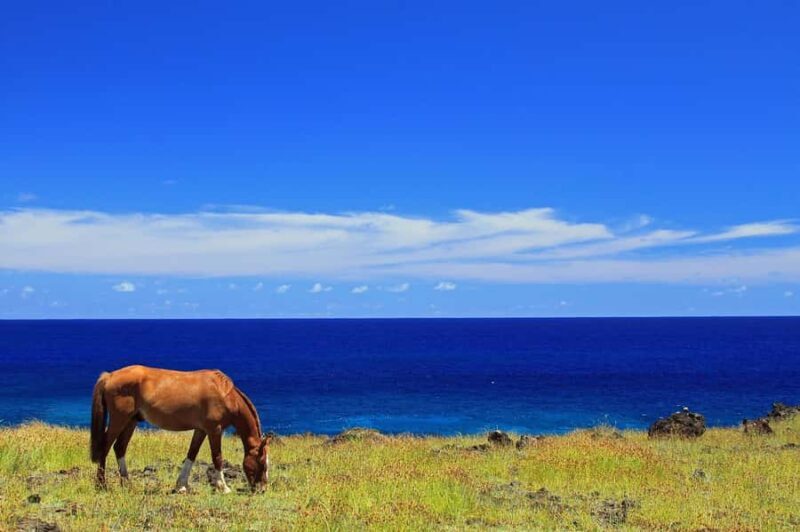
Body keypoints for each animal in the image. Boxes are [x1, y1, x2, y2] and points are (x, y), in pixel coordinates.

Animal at [90, 365, 270, 493]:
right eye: (262, 462)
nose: (262, 489)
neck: (224, 395)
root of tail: (109, 376)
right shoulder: (214, 430)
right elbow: (217, 457)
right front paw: (223, 487)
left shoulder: (201, 430)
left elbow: (191, 454)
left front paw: (181, 486)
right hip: (119, 420)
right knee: (105, 447)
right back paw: (101, 484)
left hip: (131, 421)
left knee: (119, 448)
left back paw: (127, 483)